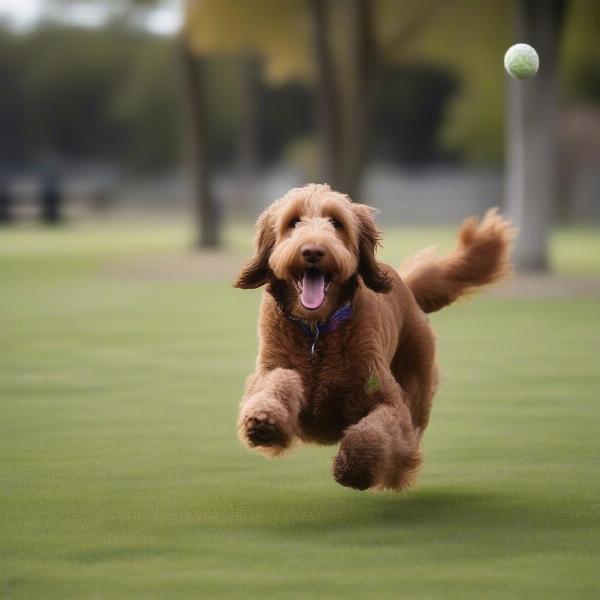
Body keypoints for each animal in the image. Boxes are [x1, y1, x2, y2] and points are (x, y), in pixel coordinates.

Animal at [234, 184, 516, 492]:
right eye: (293, 222)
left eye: (336, 223)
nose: (313, 251)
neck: (318, 332)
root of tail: (406, 285)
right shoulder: (271, 368)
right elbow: (276, 382)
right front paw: (264, 420)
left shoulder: (388, 400)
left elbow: (375, 431)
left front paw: (354, 467)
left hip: (417, 382)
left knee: (407, 437)